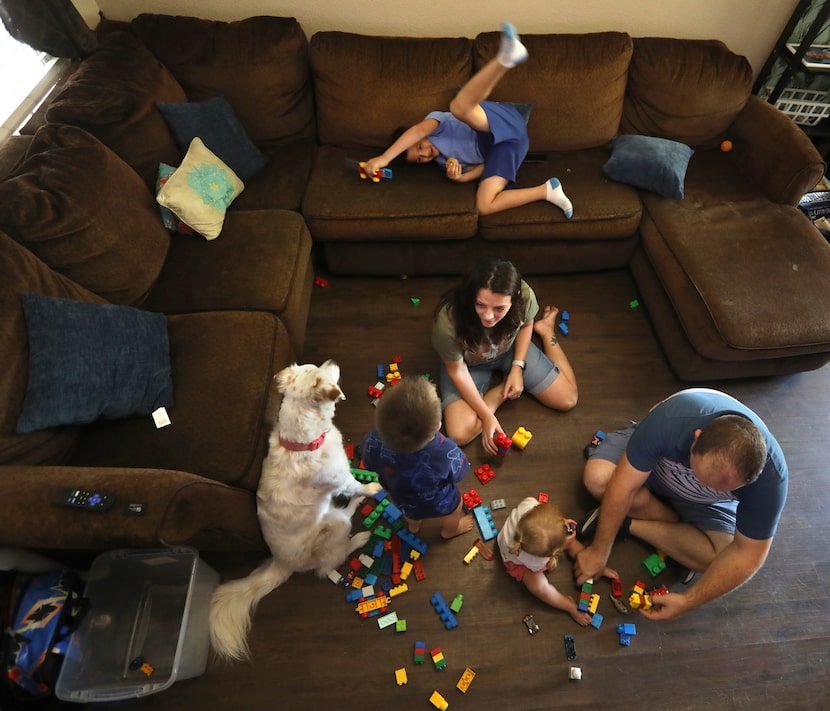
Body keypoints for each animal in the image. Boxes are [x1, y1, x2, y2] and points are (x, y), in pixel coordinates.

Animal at [210, 362, 382, 660]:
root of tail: (282, 563)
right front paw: (371, 489)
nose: (333, 361)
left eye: (311, 366)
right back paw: (359, 537)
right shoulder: (342, 478)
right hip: (334, 525)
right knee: (330, 561)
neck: (302, 444)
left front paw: (362, 495)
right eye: (326, 373)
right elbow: (357, 484)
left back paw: (354, 507)